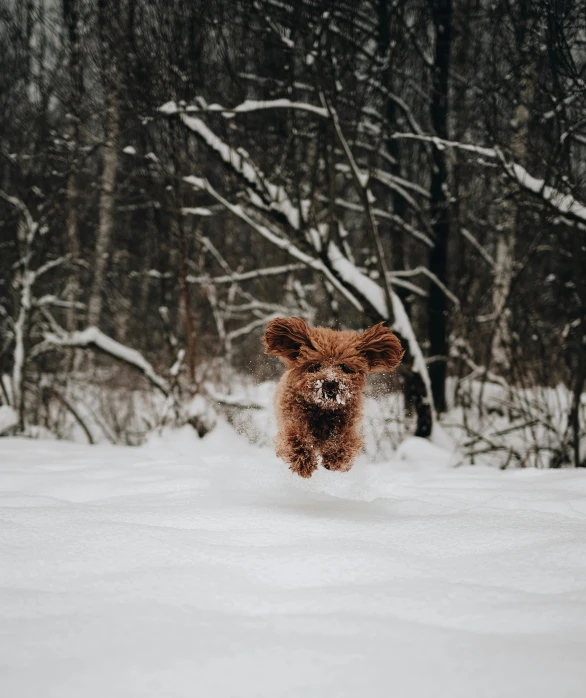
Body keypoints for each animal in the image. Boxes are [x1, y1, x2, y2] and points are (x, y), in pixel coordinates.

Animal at [264, 316, 402, 476]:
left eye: (344, 367)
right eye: (316, 366)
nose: (330, 383)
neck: (323, 410)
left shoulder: (348, 428)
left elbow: (344, 444)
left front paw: (334, 459)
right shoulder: (292, 420)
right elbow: (296, 438)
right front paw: (304, 462)